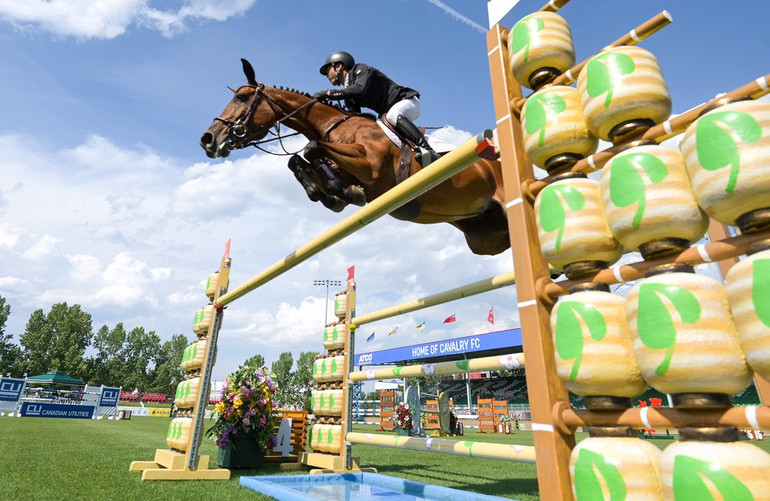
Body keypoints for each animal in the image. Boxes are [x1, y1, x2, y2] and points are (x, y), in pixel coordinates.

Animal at [201, 58, 508, 254]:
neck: (332, 125)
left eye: (241, 98)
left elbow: (311, 148)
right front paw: (331, 194)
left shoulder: (370, 166)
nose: (208, 139)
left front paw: (341, 192)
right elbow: (298, 160)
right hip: (487, 239)